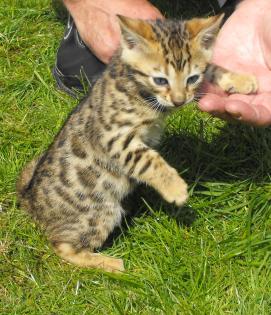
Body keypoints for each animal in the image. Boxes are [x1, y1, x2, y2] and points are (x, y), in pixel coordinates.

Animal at [17, 14, 260, 272]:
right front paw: (175, 188)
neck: (133, 81)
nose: (179, 101)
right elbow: (148, 159)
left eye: (192, 78)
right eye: (160, 80)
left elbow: (211, 67)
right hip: (98, 213)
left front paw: (240, 79)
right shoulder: (114, 136)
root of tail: (29, 201)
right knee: (62, 247)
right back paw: (109, 263)